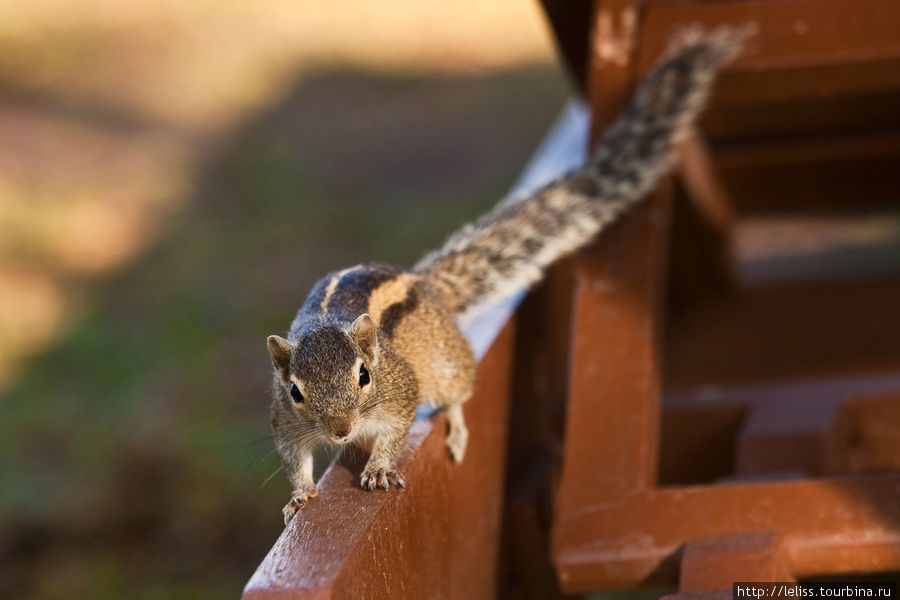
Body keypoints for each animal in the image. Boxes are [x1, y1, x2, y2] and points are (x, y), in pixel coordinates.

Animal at [266, 28, 744, 524]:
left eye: (363, 375)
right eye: (297, 391)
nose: (340, 431)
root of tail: (426, 281)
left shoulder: (400, 391)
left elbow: (395, 431)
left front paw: (378, 468)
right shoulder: (284, 420)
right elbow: (293, 457)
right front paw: (300, 495)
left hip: (446, 364)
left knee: (459, 391)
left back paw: (456, 428)